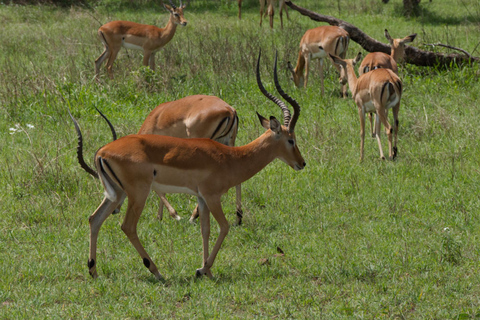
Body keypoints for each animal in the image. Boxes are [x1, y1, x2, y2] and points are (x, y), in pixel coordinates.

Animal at [73, 52, 306, 280]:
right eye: (291, 139)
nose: (301, 163)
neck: (231, 158)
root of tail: (102, 152)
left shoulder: (201, 198)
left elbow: (205, 230)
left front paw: (206, 270)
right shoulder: (212, 196)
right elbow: (224, 227)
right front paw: (202, 269)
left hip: (117, 194)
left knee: (94, 219)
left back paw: (93, 270)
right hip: (138, 194)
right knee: (127, 226)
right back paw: (156, 271)